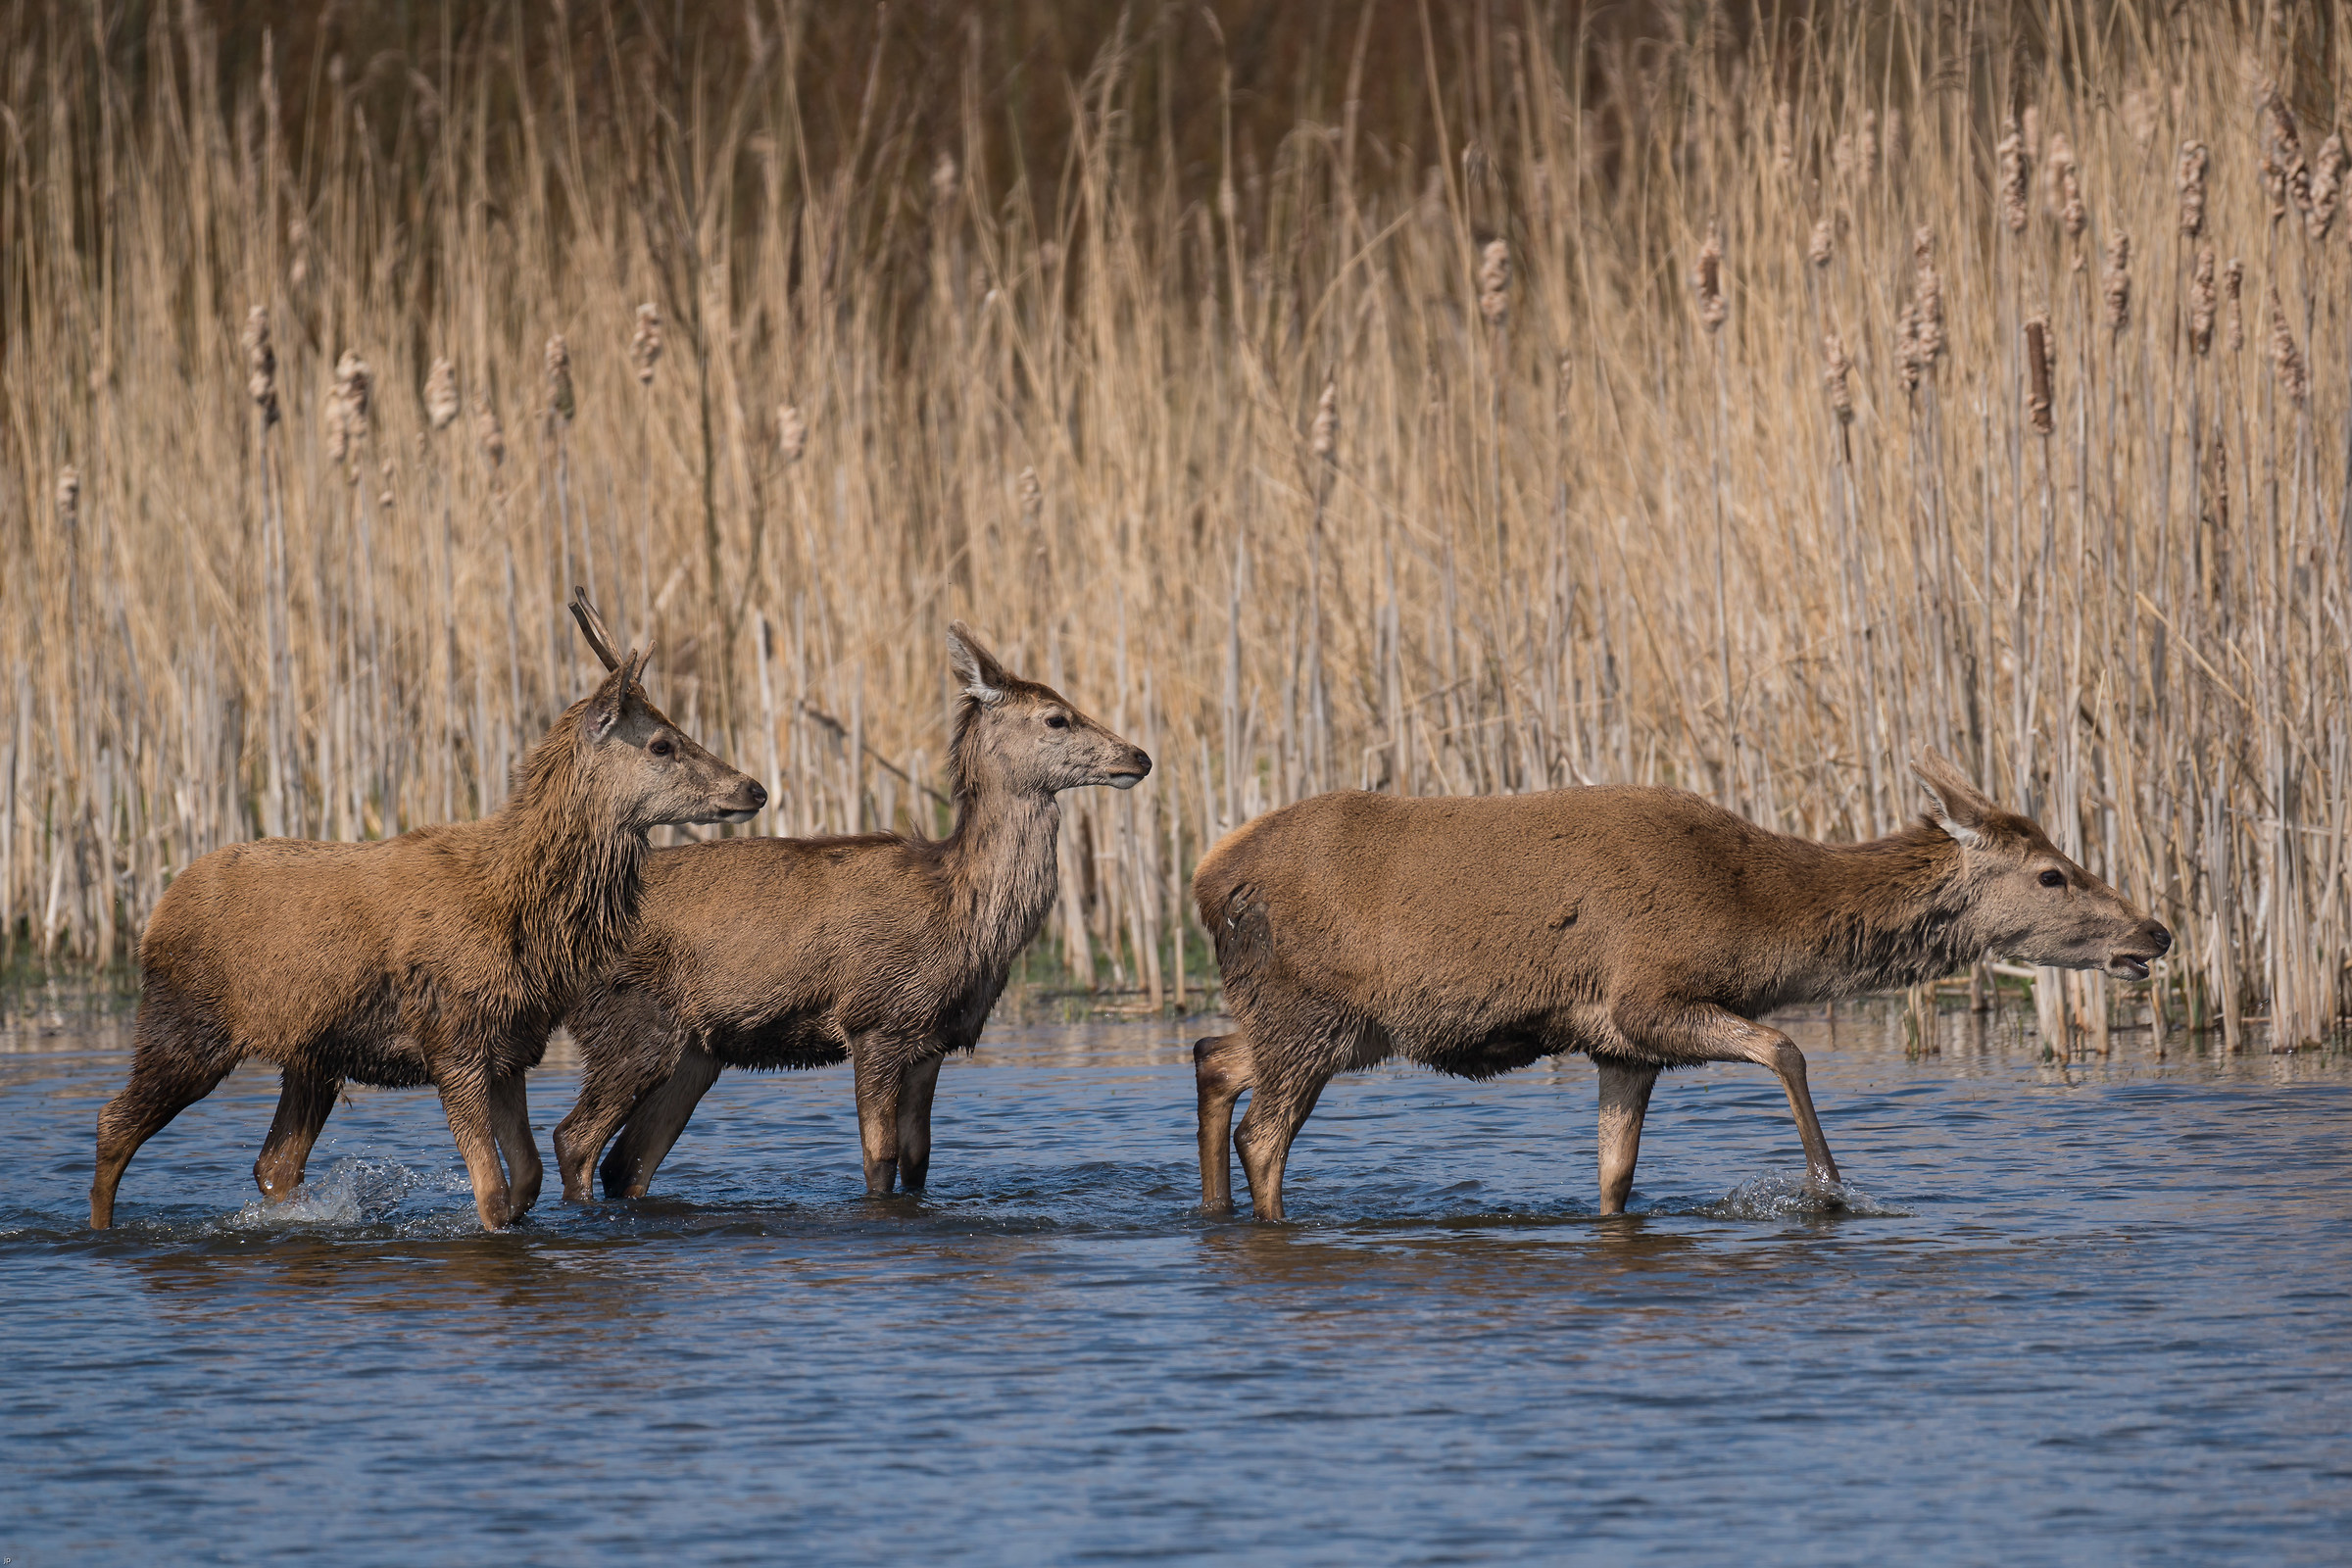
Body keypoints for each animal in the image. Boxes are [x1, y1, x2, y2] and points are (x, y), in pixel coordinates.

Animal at [90, 594, 766, 1232]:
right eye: (662, 743)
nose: (753, 787)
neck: (526, 915)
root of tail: (153, 917)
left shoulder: (511, 1046)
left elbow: (526, 1180)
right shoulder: (453, 1039)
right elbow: (492, 1193)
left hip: (310, 1056)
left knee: (274, 1163)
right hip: (186, 1026)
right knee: (112, 1123)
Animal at [549, 621, 1151, 1202]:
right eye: (1057, 717)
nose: (1139, 756)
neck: (958, 909)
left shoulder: (932, 1040)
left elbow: (918, 1163)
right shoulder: (875, 1020)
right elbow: (878, 1161)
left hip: (695, 1052)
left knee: (626, 1165)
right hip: (630, 1023)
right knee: (575, 1139)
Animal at [1191, 752, 2172, 1221]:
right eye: (2052, 874)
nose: (2154, 933)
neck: (1757, 923)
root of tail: (1206, 880)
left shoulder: (1621, 1046)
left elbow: (1616, 1174)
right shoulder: (1644, 998)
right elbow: (1786, 1046)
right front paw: (1829, 1191)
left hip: (1314, 1021)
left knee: (1213, 1057)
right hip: (1314, 1013)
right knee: (1263, 1134)